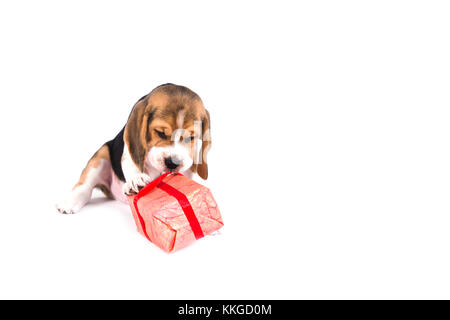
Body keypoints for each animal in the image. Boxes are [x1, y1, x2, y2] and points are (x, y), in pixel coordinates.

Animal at [56, 84, 211, 215]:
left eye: (191, 138)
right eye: (160, 133)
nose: (173, 163)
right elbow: (131, 162)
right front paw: (136, 179)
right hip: (101, 156)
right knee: (85, 187)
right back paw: (69, 203)